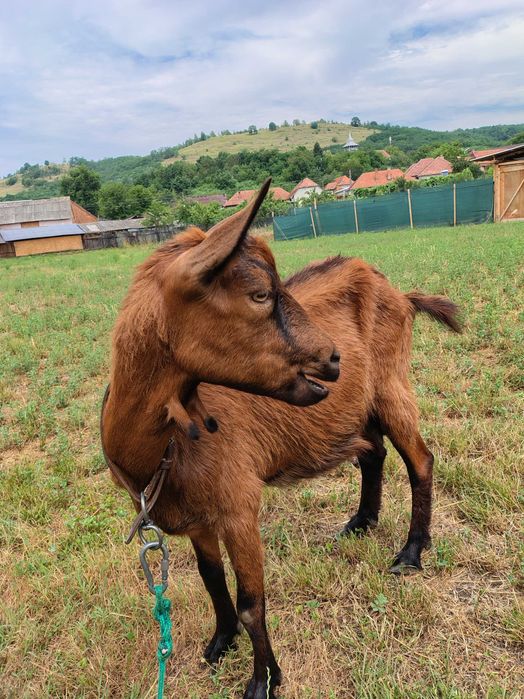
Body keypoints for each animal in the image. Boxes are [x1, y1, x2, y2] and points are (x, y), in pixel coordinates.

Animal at [102, 179, 461, 698]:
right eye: (259, 294)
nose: (332, 357)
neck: (163, 451)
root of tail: (400, 293)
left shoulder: (237, 505)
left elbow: (252, 602)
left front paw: (263, 681)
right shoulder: (195, 518)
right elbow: (212, 580)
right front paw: (218, 644)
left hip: (391, 383)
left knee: (420, 460)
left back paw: (411, 552)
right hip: (359, 406)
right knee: (372, 454)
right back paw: (361, 522)